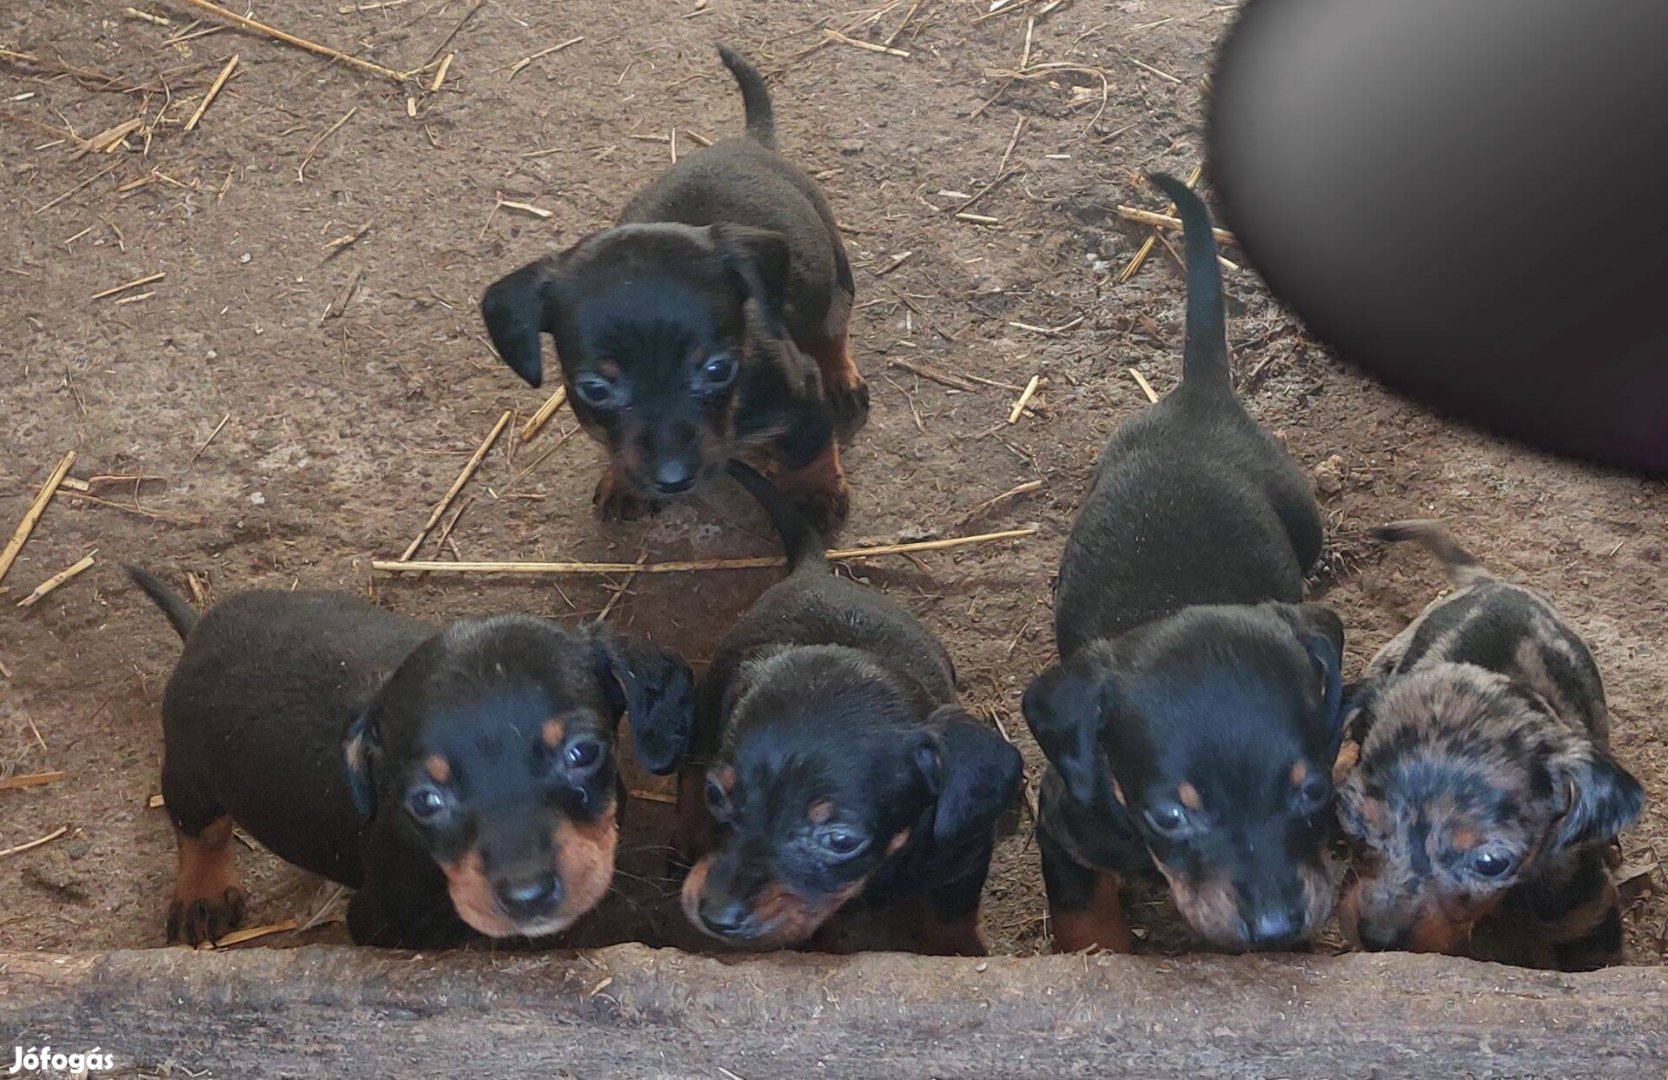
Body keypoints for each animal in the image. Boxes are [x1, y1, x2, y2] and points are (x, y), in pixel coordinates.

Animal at [126, 567, 693, 948]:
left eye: (583, 752)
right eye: (425, 800)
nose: (527, 894)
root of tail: (199, 629)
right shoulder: (382, 920)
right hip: (190, 775)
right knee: (199, 832)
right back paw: (202, 895)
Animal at [480, 47, 860, 537]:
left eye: (718, 369)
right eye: (594, 389)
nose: (673, 478)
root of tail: (751, 142)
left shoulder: (802, 396)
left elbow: (806, 450)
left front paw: (816, 493)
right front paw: (621, 481)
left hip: (836, 278)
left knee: (832, 332)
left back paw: (842, 378)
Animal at [673, 464, 1014, 954]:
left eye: (840, 840)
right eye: (717, 794)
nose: (716, 917)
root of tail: (814, 571)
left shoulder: (963, 854)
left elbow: (952, 913)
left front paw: (960, 952)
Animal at [1014, 175, 1341, 954]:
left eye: (1315, 790)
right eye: (1170, 815)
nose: (1276, 926)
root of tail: (1201, 396)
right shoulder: (1061, 821)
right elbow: (1084, 912)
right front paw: (1101, 948)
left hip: (1302, 513)